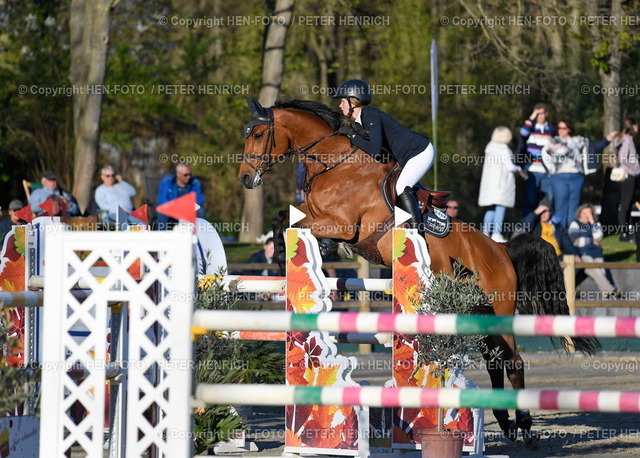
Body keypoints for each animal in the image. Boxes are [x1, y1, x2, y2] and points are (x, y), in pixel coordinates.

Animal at [238, 97, 596, 448]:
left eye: (258, 134)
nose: (245, 178)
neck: (334, 164)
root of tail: (502, 249)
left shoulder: (341, 225)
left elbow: (299, 224)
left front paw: (294, 253)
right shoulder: (316, 216)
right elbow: (282, 218)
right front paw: (288, 255)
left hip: (499, 310)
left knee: (513, 362)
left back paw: (524, 428)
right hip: (478, 313)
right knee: (494, 361)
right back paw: (505, 422)